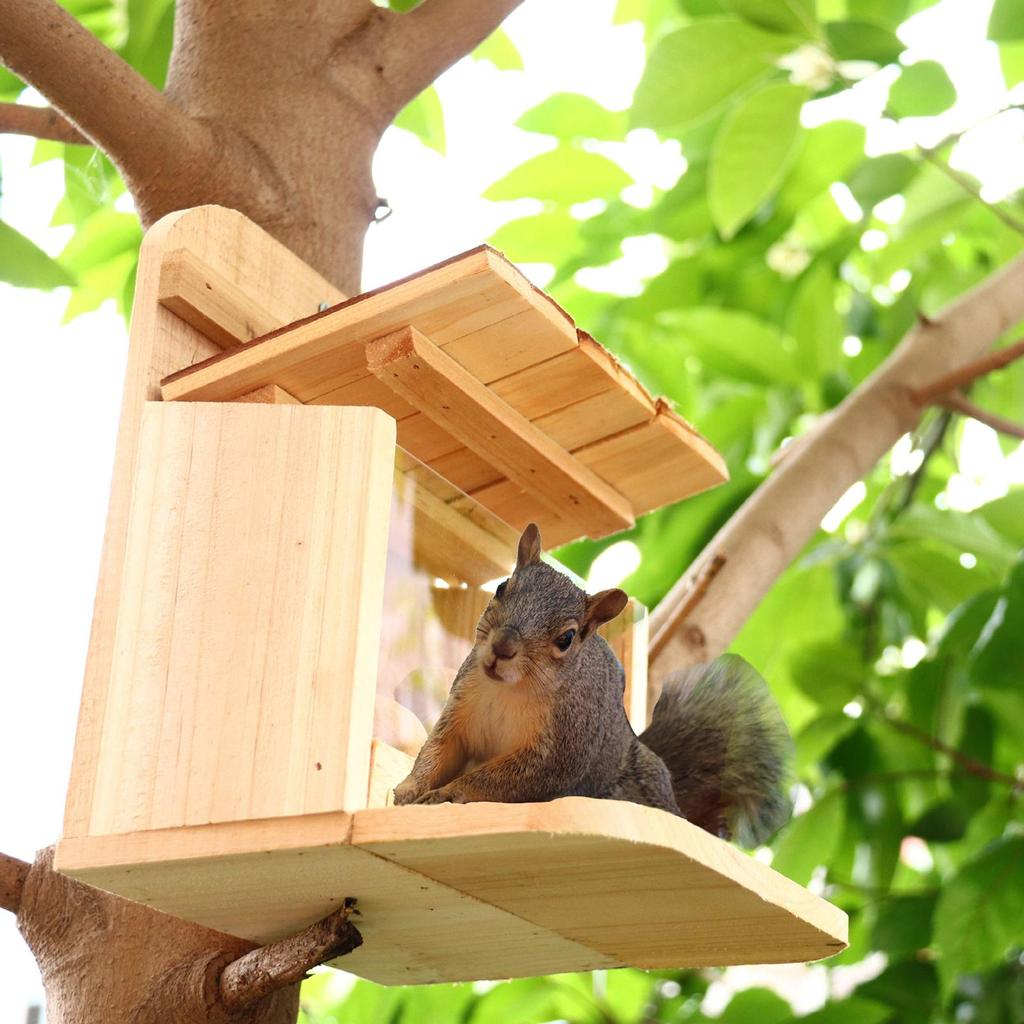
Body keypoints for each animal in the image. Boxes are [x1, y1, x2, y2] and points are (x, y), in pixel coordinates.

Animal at [394, 523, 793, 845]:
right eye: (502, 588)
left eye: (567, 638)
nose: (503, 647)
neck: (510, 689)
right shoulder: (464, 705)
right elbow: (440, 748)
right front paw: (411, 786)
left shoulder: (559, 750)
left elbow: (498, 780)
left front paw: (449, 793)